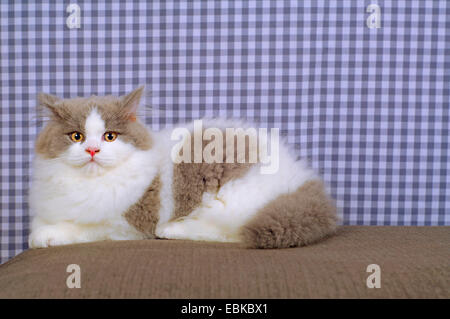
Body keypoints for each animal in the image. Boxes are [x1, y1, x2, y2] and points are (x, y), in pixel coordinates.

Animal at [28, 87, 338, 250]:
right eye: (76, 136)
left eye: (110, 136)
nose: (93, 150)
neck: (88, 183)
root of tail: (301, 177)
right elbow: (42, 221)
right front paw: (40, 231)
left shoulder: (126, 223)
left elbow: (83, 228)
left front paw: (45, 237)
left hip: (228, 201)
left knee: (234, 234)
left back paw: (171, 230)